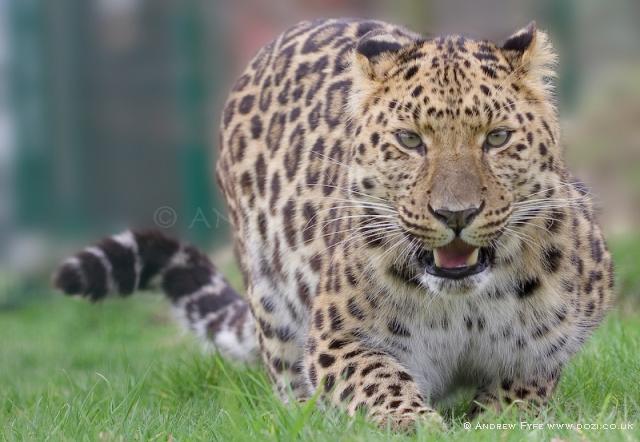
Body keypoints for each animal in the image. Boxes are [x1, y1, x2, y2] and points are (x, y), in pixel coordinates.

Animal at [54, 18, 614, 431]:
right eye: (410, 141)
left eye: (497, 138)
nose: (455, 214)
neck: (465, 303)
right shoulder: (338, 341)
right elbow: (380, 382)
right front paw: (417, 424)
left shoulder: (546, 349)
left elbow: (519, 396)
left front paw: (493, 420)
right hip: (272, 301)